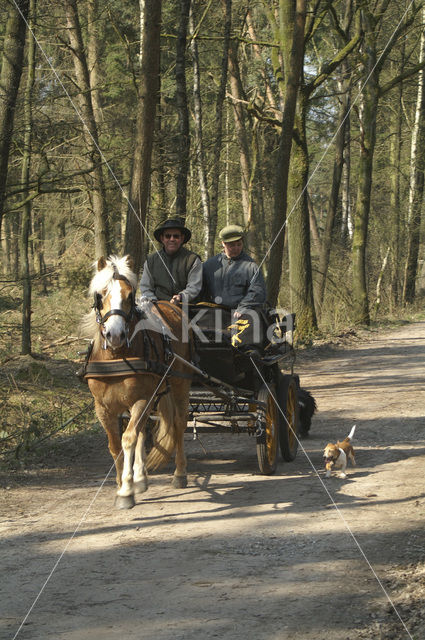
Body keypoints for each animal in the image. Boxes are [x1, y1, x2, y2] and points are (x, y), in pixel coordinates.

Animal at [80, 255, 192, 510]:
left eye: (130, 295)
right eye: (100, 294)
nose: (115, 335)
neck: (116, 356)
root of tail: (171, 305)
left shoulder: (141, 399)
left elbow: (128, 438)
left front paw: (125, 491)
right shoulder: (103, 407)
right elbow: (115, 445)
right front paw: (124, 483)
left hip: (179, 383)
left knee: (179, 424)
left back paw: (180, 474)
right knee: (143, 429)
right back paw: (141, 478)